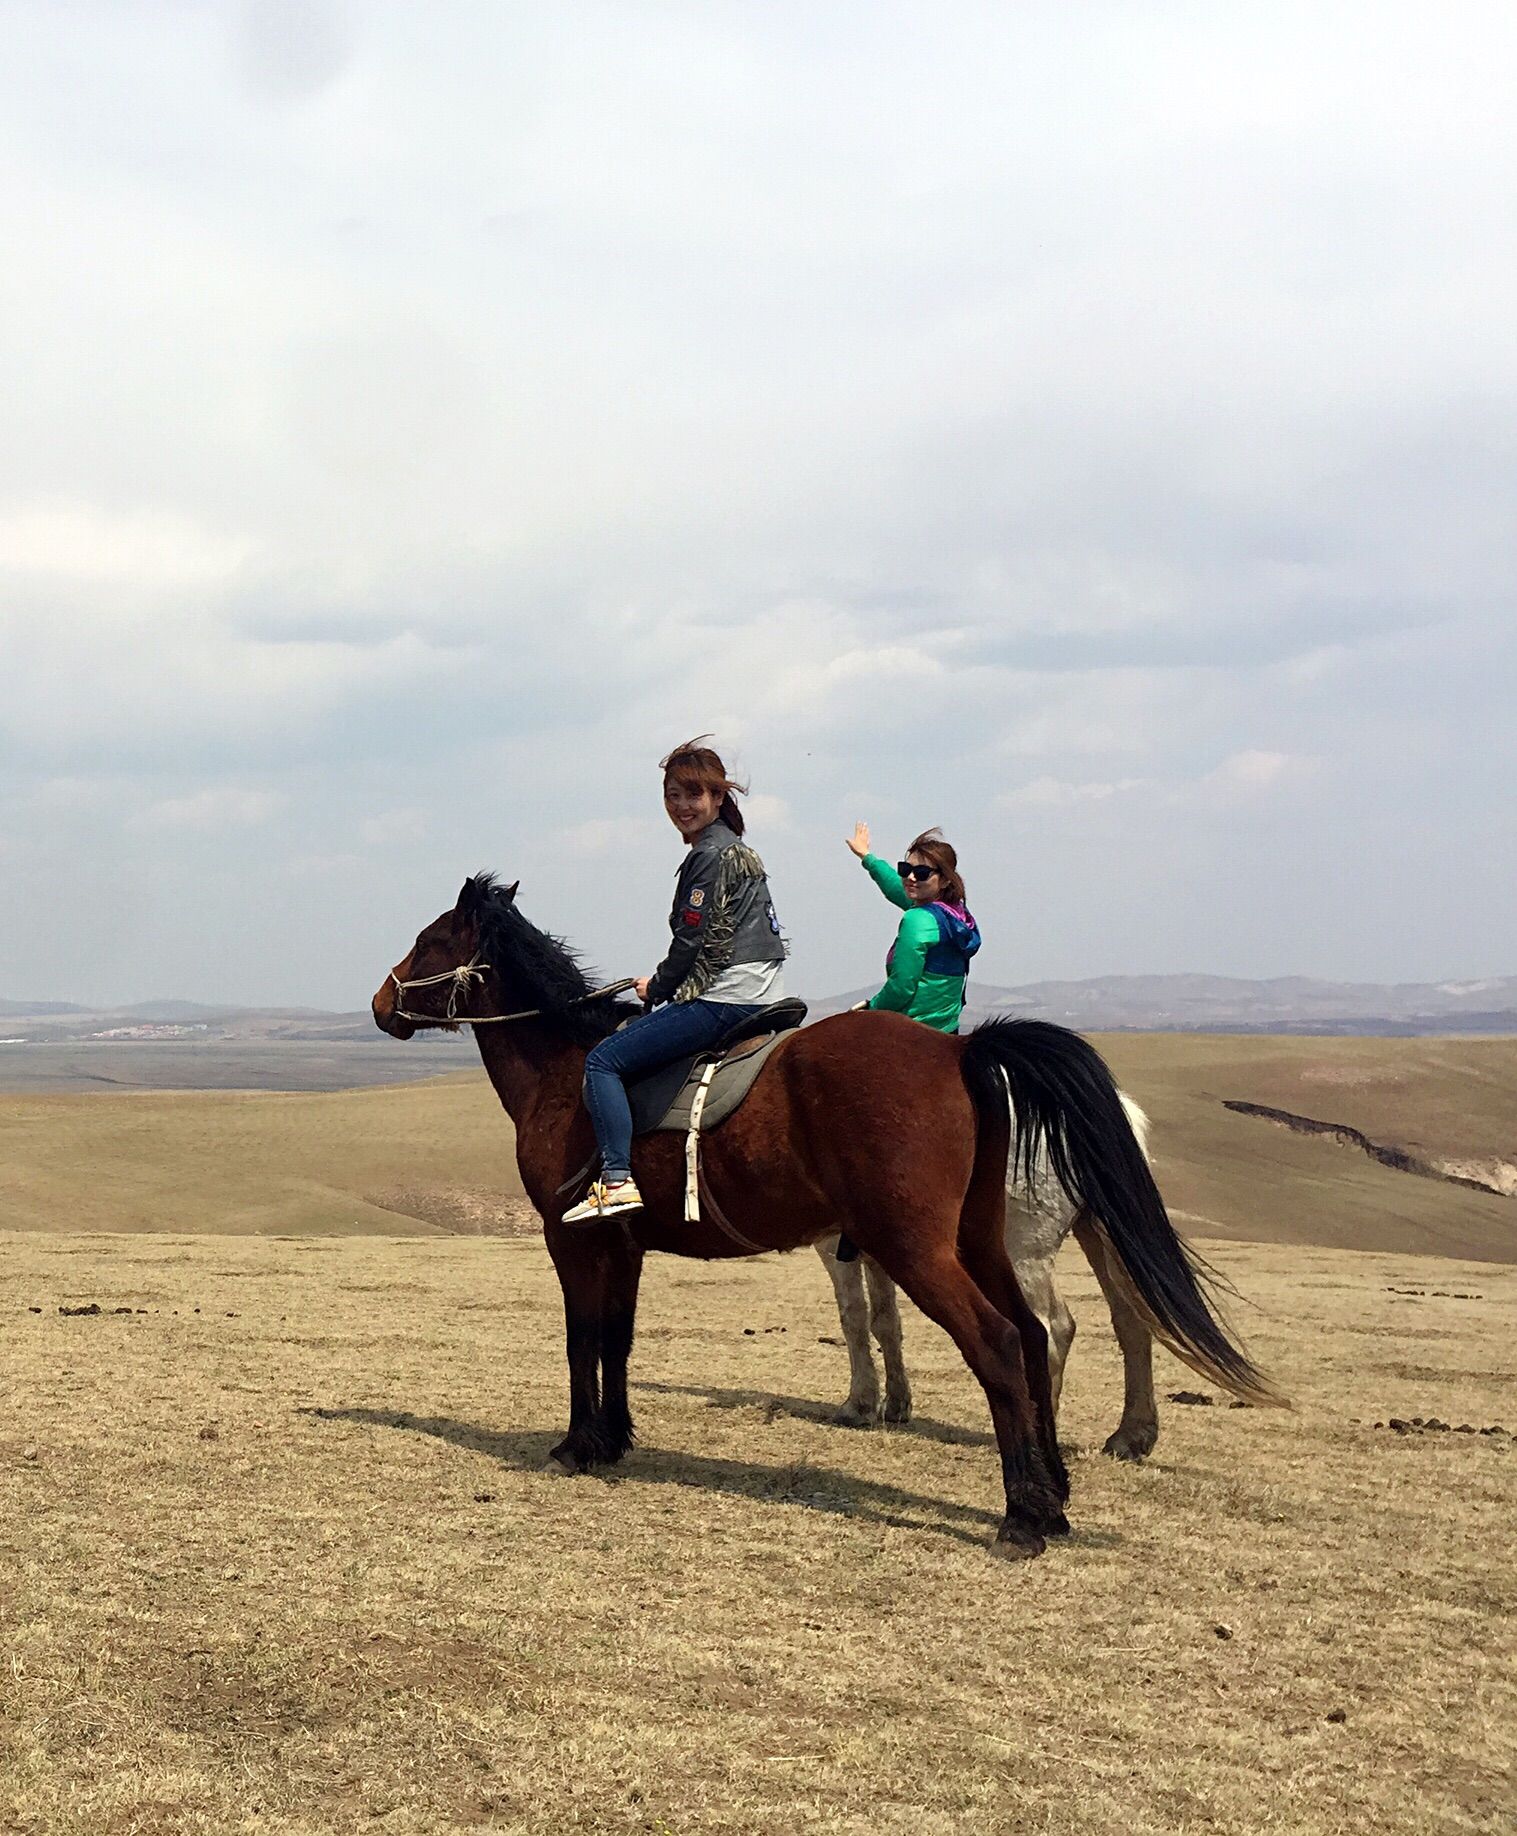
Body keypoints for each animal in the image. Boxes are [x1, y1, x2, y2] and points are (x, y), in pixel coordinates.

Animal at [369, 866, 1278, 1556]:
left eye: (430, 939)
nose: (379, 1003)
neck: (566, 1070)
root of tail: (960, 1052)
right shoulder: (624, 1248)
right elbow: (618, 1340)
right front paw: (612, 1440)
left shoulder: (572, 1243)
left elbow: (581, 1339)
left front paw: (574, 1445)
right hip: (977, 1242)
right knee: (1029, 1335)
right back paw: (1053, 1494)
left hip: (921, 1249)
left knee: (997, 1341)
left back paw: (1022, 1517)